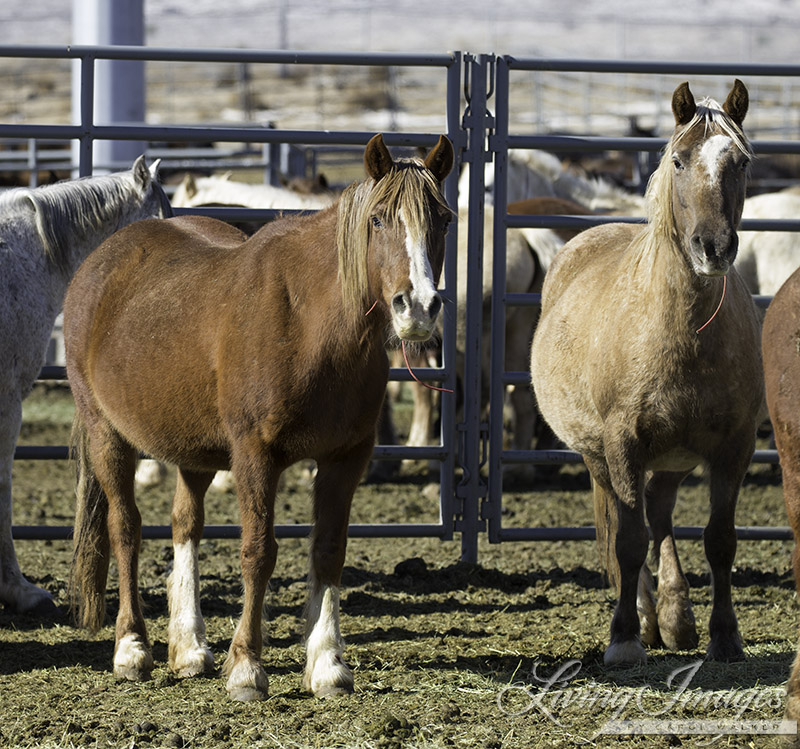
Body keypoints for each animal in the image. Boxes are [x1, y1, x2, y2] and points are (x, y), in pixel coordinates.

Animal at [65, 134, 454, 700]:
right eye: (379, 219)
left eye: (443, 219)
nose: (418, 307)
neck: (311, 324)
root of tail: (101, 260)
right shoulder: (254, 455)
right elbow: (258, 552)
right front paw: (247, 666)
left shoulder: (346, 458)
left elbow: (329, 549)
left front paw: (328, 663)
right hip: (106, 432)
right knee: (125, 527)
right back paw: (132, 648)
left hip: (194, 447)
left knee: (185, 524)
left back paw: (189, 649)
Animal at [532, 82, 764, 664]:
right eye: (679, 160)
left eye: (741, 162)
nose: (713, 247)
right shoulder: (623, 445)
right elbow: (628, 541)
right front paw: (624, 639)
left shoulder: (734, 446)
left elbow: (720, 540)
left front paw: (725, 636)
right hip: (600, 458)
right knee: (626, 523)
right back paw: (643, 618)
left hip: (674, 458)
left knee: (659, 514)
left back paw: (675, 619)